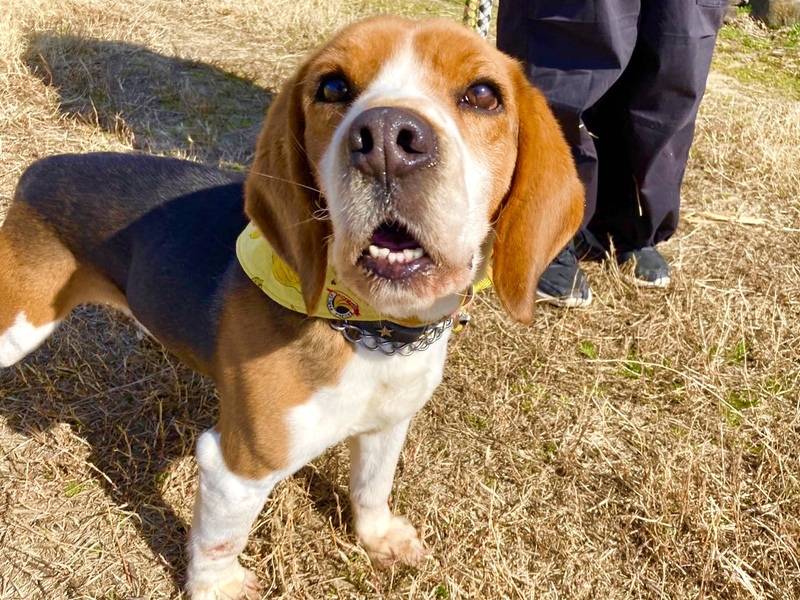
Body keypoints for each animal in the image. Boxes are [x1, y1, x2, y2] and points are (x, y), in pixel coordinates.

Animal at [0, 15, 583, 599]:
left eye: (483, 95)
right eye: (333, 87)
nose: (387, 141)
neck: (370, 329)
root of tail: (40, 168)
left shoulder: (388, 423)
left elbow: (372, 486)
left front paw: (378, 538)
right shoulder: (237, 468)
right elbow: (219, 541)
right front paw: (218, 587)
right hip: (20, 326)